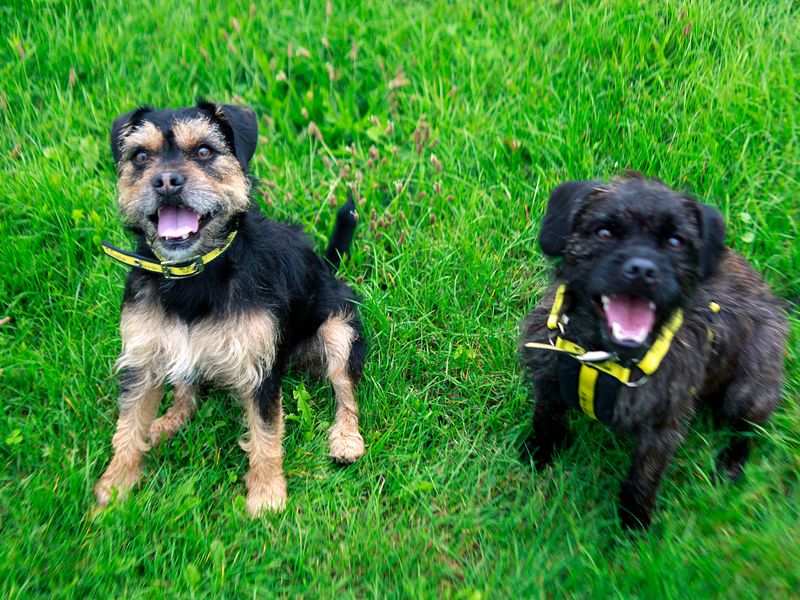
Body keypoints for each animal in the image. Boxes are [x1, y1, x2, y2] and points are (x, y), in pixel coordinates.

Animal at [94, 103, 366, 516]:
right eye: (140, 156)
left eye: (205, 151)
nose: (166, 181)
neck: (194, 274)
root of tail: (326, 266)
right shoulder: (142, 360)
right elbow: (127, 427)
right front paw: (113, 491)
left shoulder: (259, 368)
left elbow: (266, 435)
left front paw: (267, 496)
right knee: (186, 394)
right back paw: (164, 424)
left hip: (339, 331)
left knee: (344, 390)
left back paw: (347, 439)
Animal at [520, 172, 788, 528]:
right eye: (604, 232)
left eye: (674, 241)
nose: (643, 269)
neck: (604, 358)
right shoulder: (548, 378)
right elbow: (546, 418)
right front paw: (538, 453)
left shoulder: (662, 426)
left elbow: (644, 476)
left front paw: (634, 523)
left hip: (748, 389)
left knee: (749, 429)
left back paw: (732, 462)